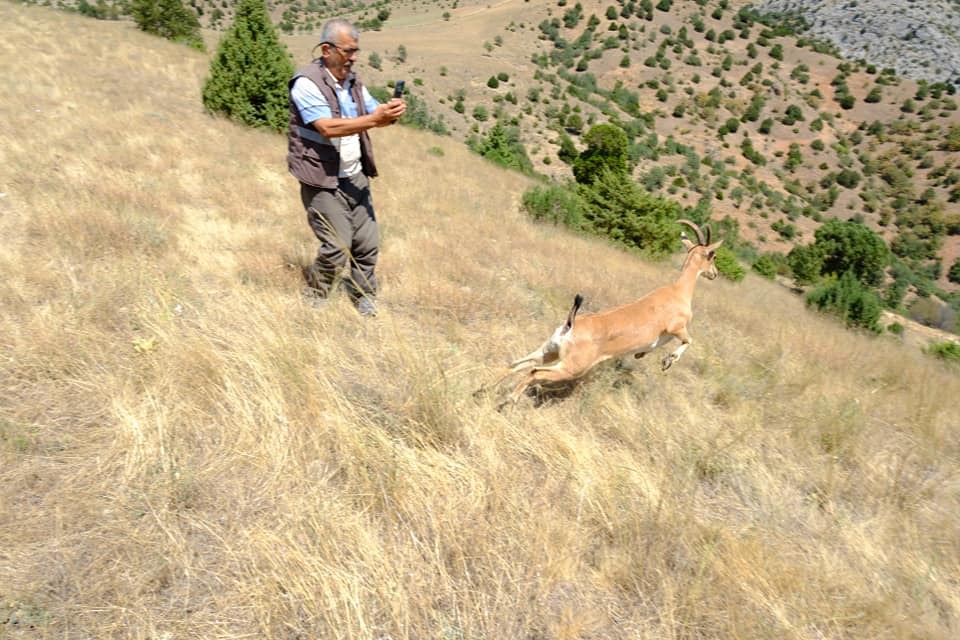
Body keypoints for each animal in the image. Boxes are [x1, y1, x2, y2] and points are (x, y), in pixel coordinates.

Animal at [496, 220, 720, 404]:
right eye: (712, 256)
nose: (714, 274)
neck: (678, 291)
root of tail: (570, 325)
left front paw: (644, 354)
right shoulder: (676, 328)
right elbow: (688, 341)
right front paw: (667, 361)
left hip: (548, 351)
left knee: (517, 364)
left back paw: (489, 388)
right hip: (571, 367)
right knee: (534, 371)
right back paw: (510, 399)